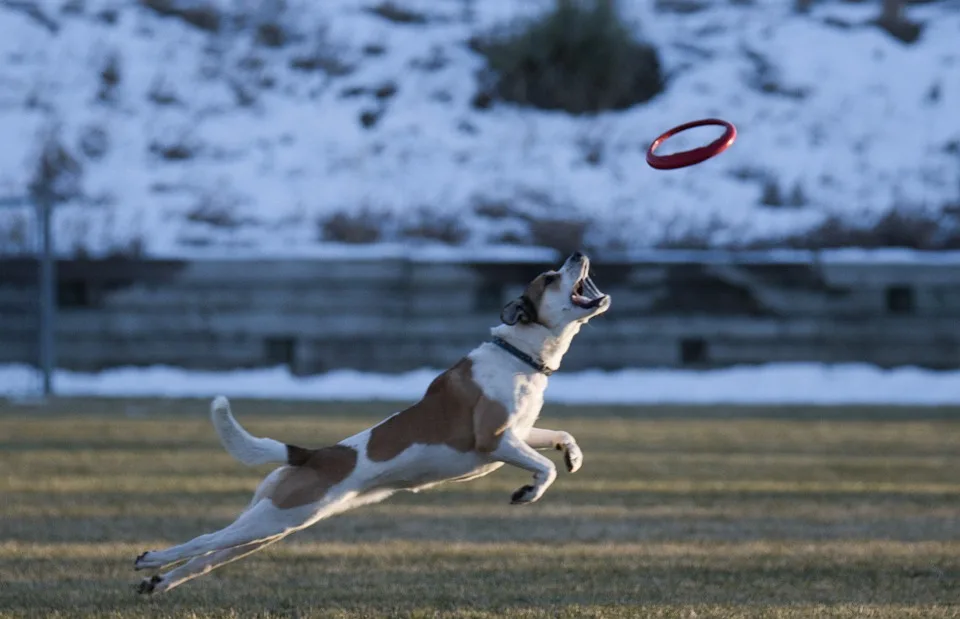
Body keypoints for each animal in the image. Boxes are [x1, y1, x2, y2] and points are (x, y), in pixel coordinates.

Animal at [131, 252, 612, 596]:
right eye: (549, 278)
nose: (578, 252)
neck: (520, 354)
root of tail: (313, 456)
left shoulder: (520, 434)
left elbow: (559, 438)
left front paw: (572, 456)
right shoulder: (494, 440)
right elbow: (543, 468)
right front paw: (527, 492)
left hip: (277, 525)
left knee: (209, 555)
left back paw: (159, 581)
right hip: (275, 520)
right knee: (203, 540)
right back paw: (151, 560)